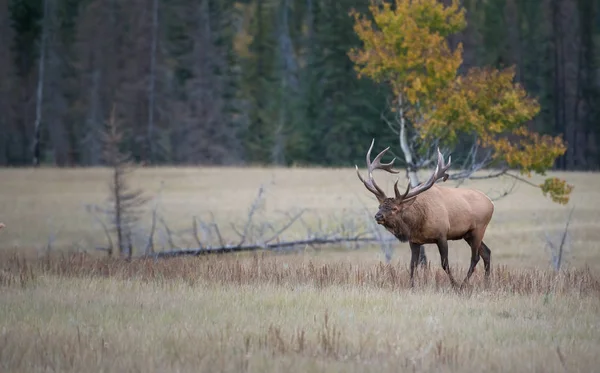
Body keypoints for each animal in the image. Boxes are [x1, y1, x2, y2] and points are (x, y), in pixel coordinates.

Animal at [356, 138, 492, 286]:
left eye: (395, 208)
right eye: (380, 206)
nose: (378, 216)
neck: (418, 223)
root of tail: (490, 202)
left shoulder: (442, 234)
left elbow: (445, 264)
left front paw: (454, 285)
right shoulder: (414, 241)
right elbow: (413, 264)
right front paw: (411, 286)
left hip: (479, 228)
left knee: (475, 257)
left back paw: (463, 285)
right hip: (468, 234)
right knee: (486, 252)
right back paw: (486, 283)